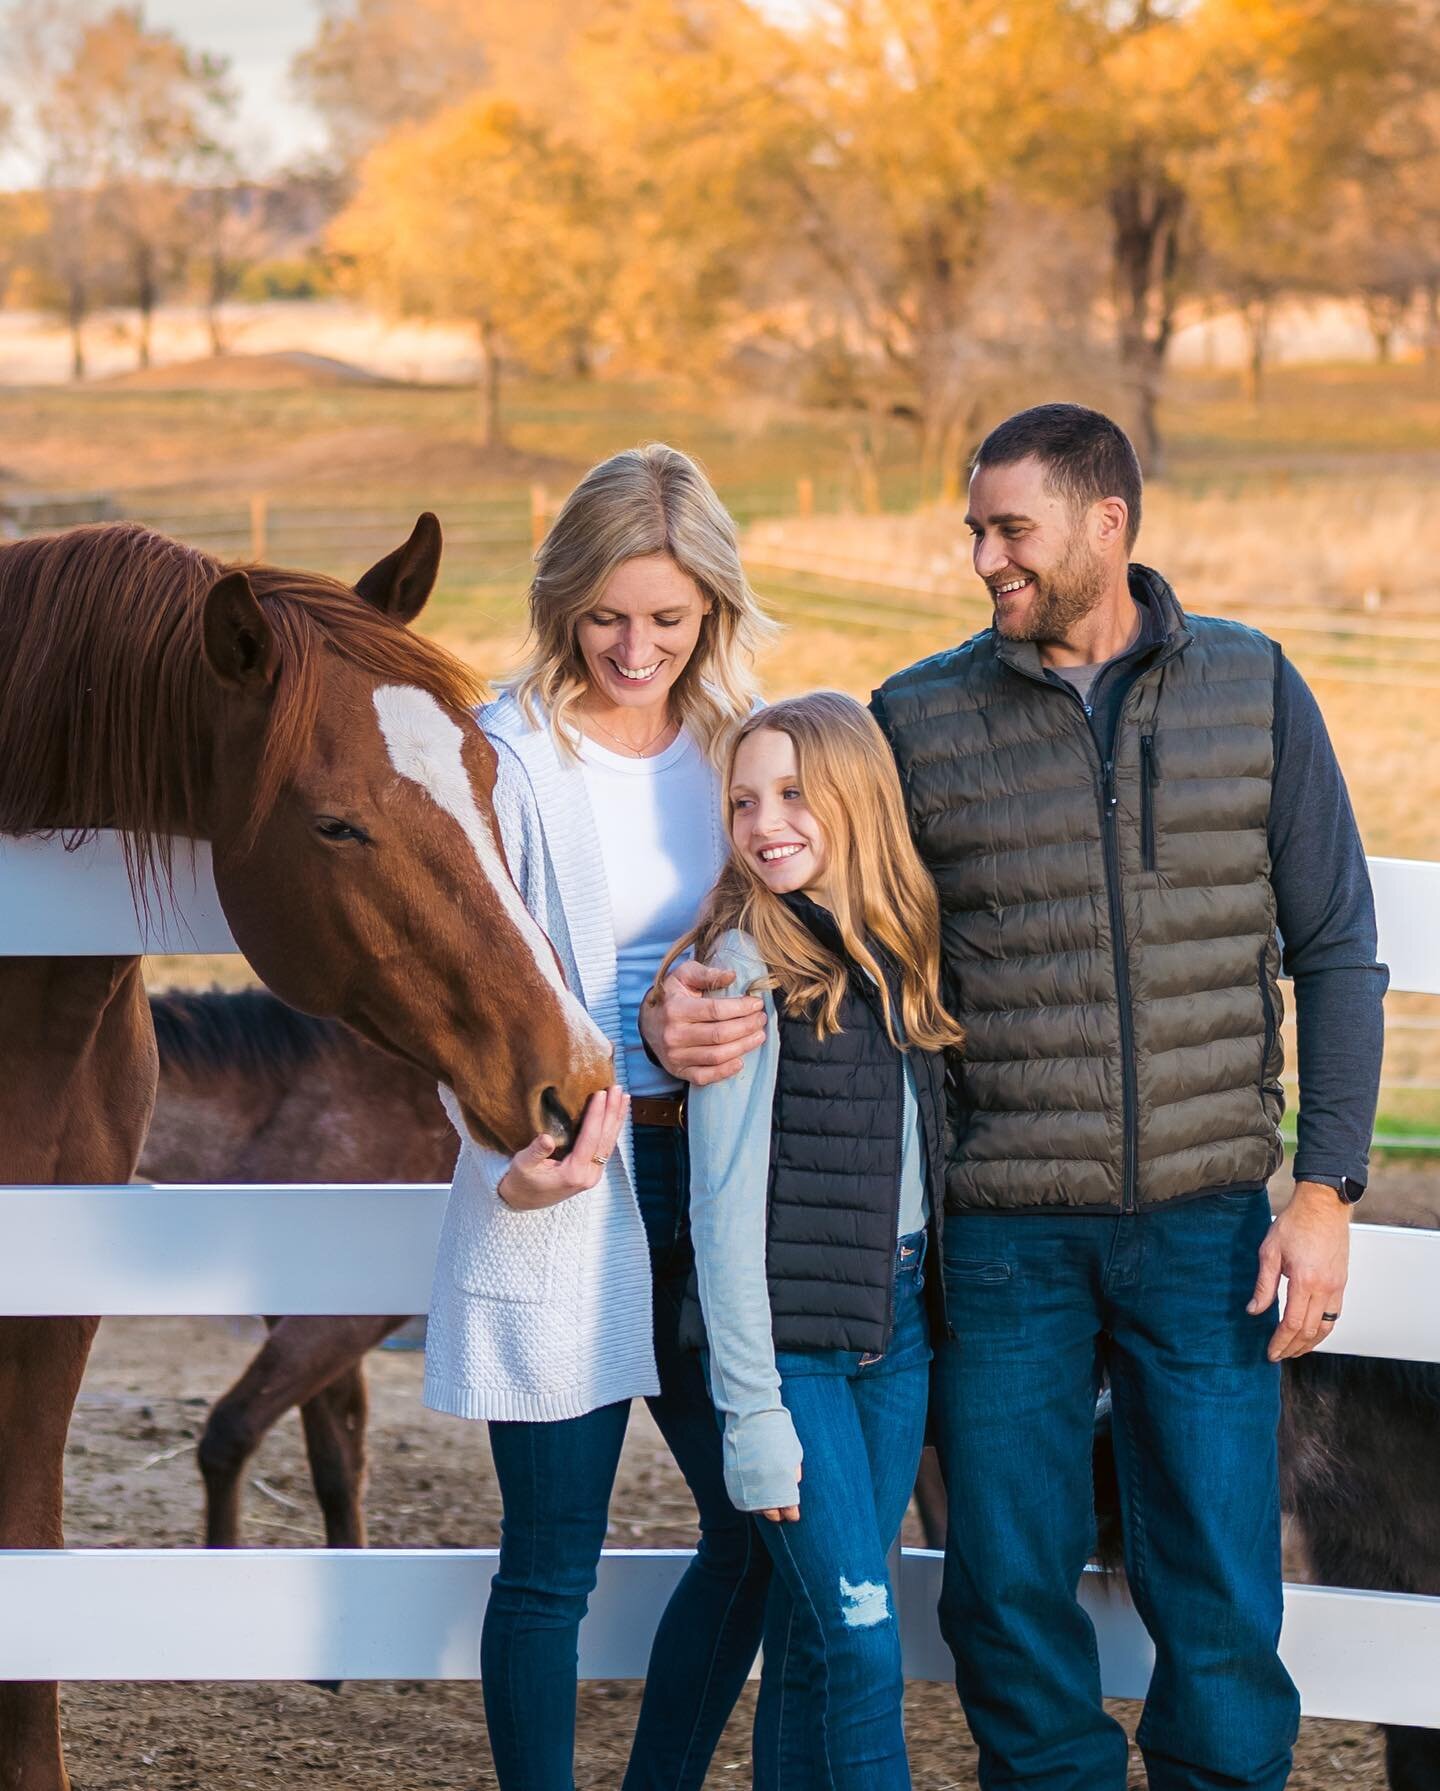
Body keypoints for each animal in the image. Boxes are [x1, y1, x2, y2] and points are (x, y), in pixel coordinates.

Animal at [140, 988, 1440, 1783]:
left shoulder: (325, 1324)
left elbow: (237, 1436)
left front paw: (235, 1597)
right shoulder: (322, 1327)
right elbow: (320, 1455)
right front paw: (310, 1638)